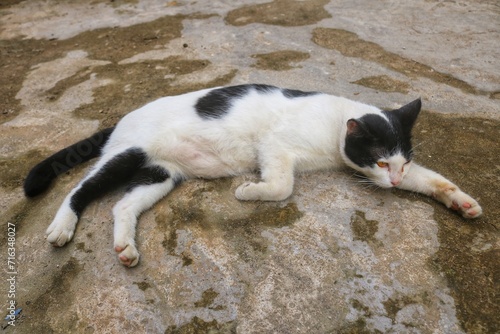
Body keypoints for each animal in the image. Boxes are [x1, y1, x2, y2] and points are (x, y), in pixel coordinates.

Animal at [23, 83, 480, 266]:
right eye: (382, 162)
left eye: (402, 163)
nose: (395, 181)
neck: (335, 124)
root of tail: (124, 117)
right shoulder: (273, 146)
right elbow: (282, 186)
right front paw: (248, 192)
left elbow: (433, 179)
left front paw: (462, 202)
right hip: (126, 153)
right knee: (80, 188)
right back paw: (62, 226)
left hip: (160, 175)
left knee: (122, 206)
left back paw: (125, 248)